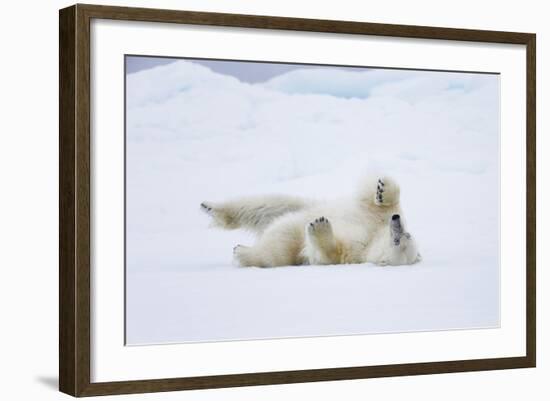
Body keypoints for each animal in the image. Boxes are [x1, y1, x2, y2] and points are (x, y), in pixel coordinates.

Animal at [203, 177, 422, 268]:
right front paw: (383, 190)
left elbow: (327, 254)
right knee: (264, 204)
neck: (372, 238)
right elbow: (378, 204)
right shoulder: (373, 217)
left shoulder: (355, 252)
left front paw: (320, 226)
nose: (396, 222)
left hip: (289, 238)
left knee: (277, 248)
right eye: (407, 234)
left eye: (399, 240)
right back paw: (210, 207)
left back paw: (242, 252)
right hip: (298, 204)